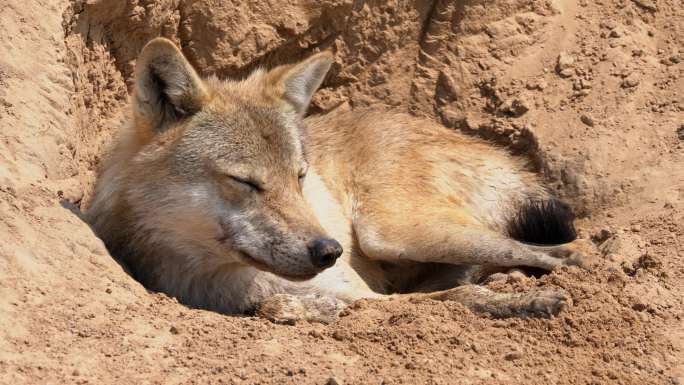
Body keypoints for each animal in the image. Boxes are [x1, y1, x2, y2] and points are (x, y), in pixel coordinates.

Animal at [87, 37, 592, 322]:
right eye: (247, 182)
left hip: (392, 233)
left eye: (299, 177)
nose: (328, 250)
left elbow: (449, 300)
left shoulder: (363, 290)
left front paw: (522, 303)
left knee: (566, 251)